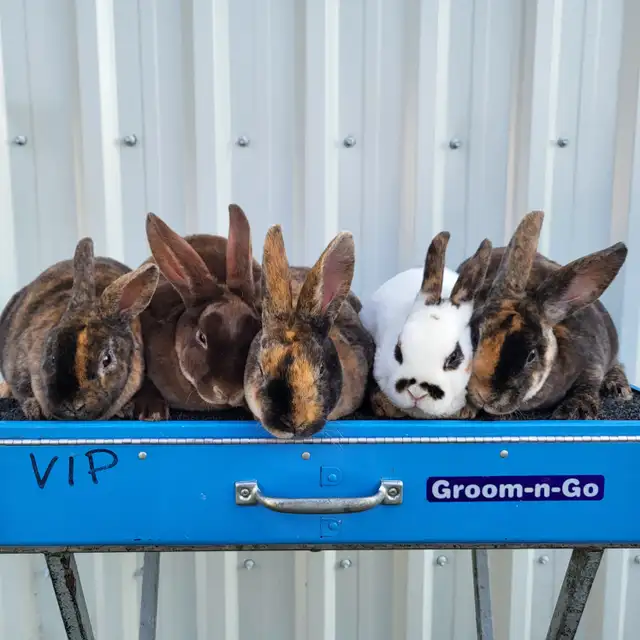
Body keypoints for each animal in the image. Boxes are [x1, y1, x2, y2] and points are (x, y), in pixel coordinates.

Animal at [462, 209, 631, 420]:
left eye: (531, 356)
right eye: (475, 338)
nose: (483, 394)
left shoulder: (593, 362)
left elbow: (589, 384)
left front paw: (574, 411)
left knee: (618, 365)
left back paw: (619, 388)